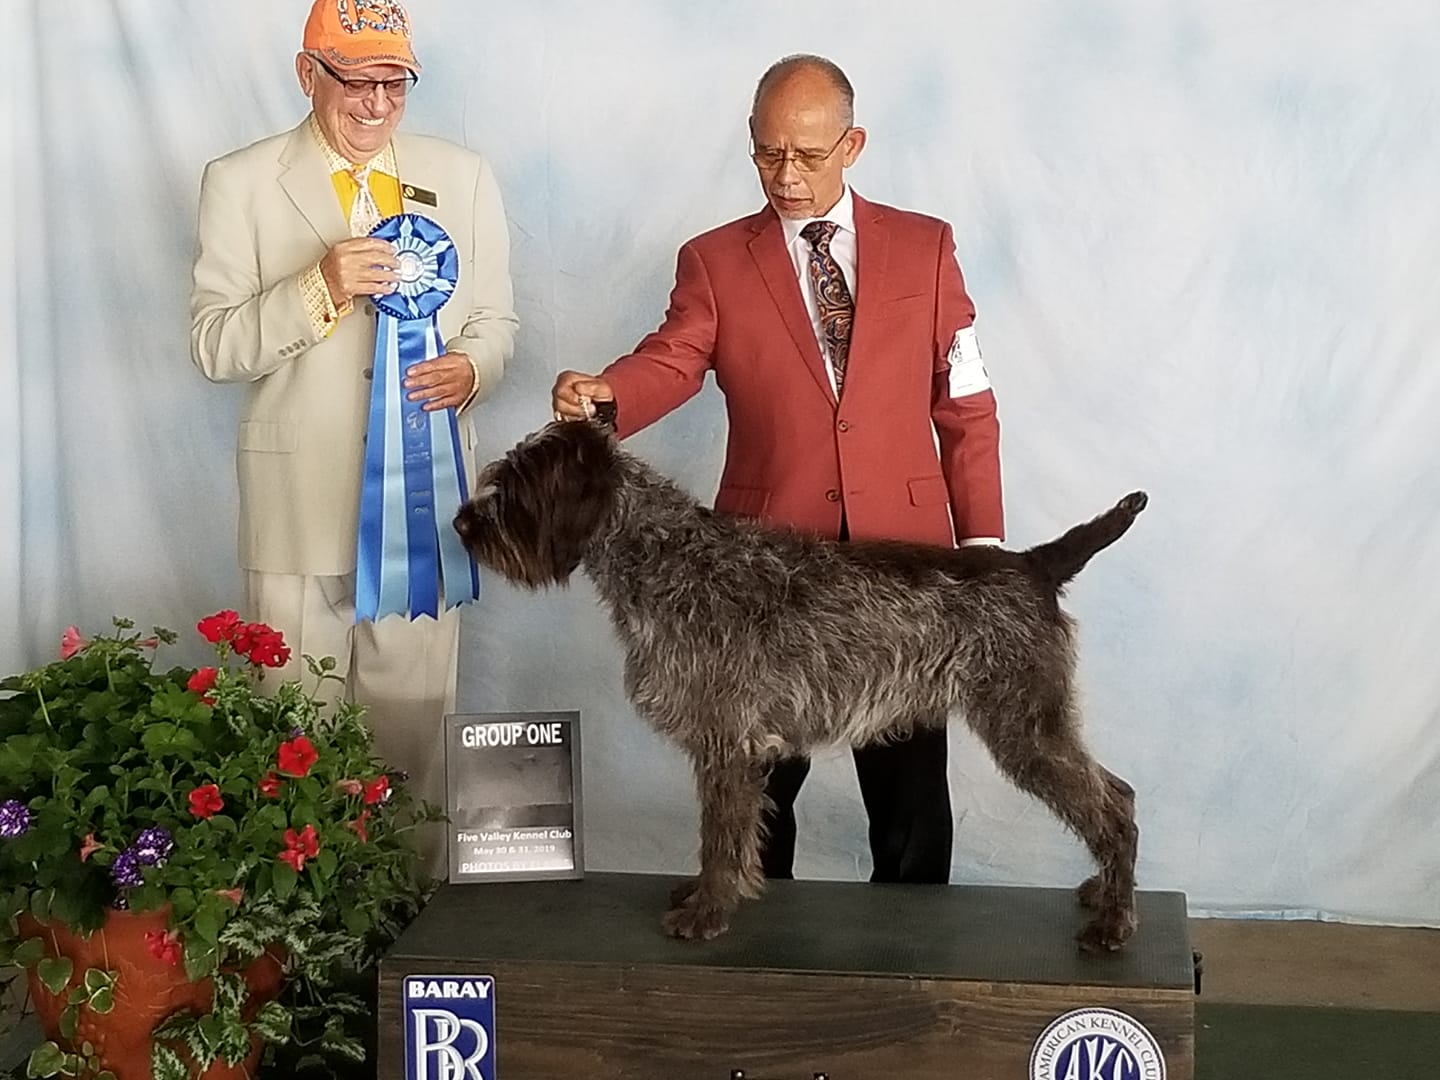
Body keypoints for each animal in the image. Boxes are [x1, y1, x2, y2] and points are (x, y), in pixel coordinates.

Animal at [454, 419, 1148, 951]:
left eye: (517, 486)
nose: (462, 524)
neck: (666, 556)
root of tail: (1033, 566)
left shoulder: (727, 742)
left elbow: (719, 835)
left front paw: (707, 910)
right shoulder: (728, 747)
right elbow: (724, 834)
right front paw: (706, 893)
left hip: (1024, 726)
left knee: (1113, 809)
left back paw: (1113, 921)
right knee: (1119, 791)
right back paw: (1103, 892)